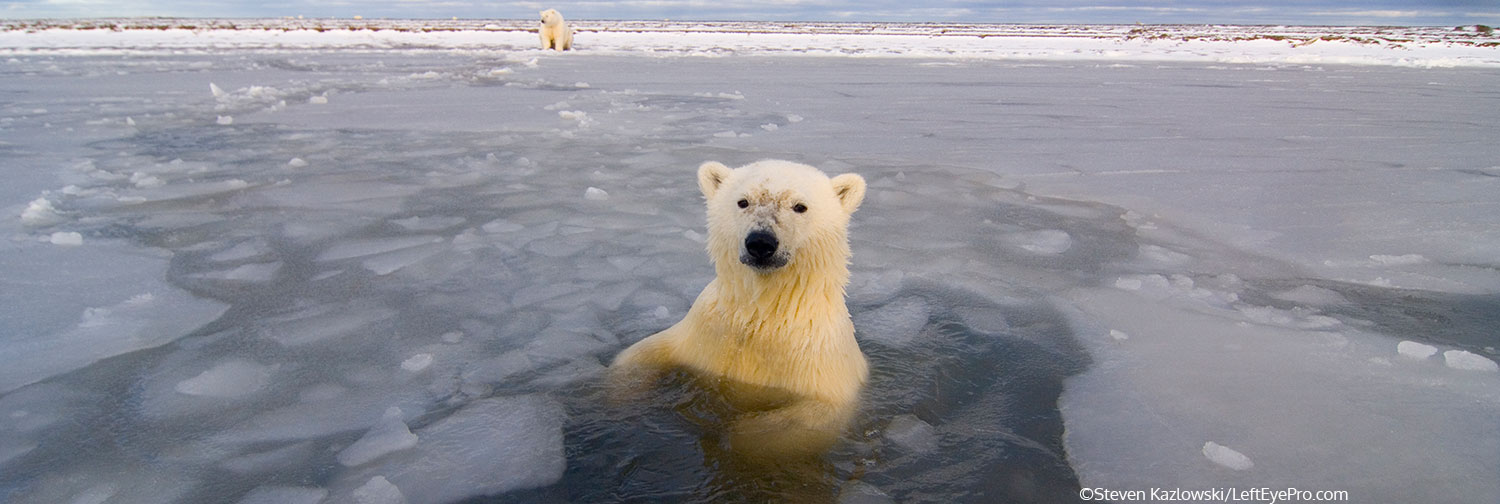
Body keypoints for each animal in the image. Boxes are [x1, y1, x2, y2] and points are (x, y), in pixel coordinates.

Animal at [606, 160, 870, 462]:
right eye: (743, 201)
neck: (762, 313)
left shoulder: (819, 363)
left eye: (800, 206)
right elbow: (644, 353)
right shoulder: (706, 332)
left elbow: (810, 417)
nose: (761, 243)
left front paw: (732, 434)